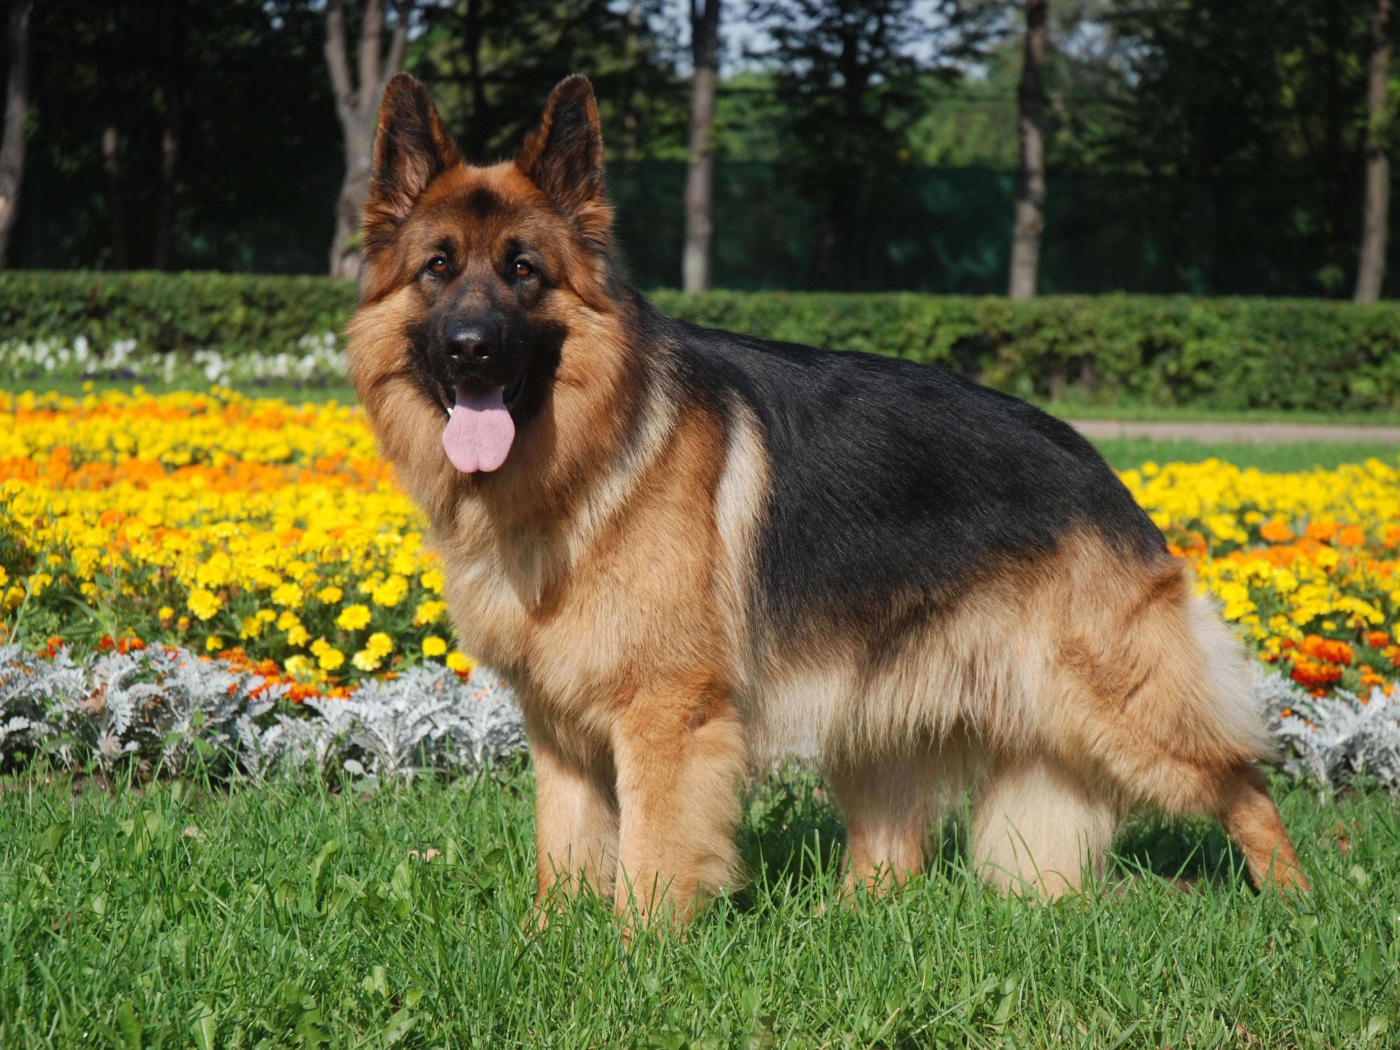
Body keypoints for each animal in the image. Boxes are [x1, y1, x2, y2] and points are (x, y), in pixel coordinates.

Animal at [344, 72, 1304, 918]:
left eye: (524, 272)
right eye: (437, 269)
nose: (472, 349)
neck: (587, 458)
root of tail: (1099, 470)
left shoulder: (667, 716)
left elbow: (650, 861)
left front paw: (634, 963)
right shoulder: (562, 730)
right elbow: (565, 853)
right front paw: (554, 948)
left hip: (1116, 707)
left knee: (1246, 783)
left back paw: (1299, 906)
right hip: (885, 709)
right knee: (894, 855)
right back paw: (841, 919)